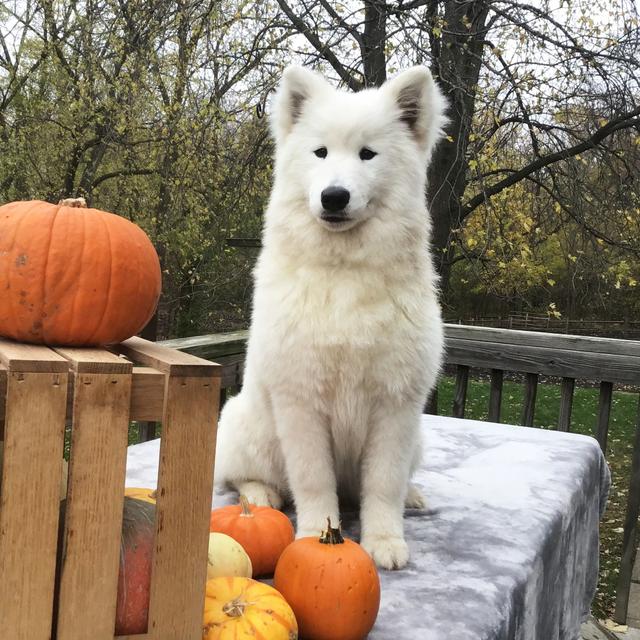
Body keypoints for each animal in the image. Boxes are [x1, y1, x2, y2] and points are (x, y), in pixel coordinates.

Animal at [215, 66, 444, 568]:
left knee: (393, 481)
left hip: (417, 437)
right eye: (320, 152)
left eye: (367, 154)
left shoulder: (395, 406)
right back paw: (258, 496)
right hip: (247, 426)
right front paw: (314, 536)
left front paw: (385, 541)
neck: (344, 273)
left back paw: (414, 495)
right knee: (240, 475)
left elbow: (384, 483)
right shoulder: (301, 402)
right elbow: (313, 482)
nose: (334, 196)